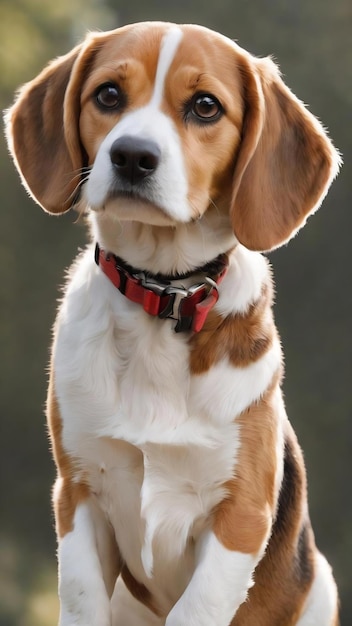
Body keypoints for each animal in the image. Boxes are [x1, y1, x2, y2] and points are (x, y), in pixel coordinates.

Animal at [5, 19, 340, 624]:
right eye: (108, 95)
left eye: (206, 106)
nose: (132, 156)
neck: (163, 299)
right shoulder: (79, 494)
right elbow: (82, 600)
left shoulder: (240, 517)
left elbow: (195, 609)